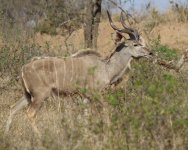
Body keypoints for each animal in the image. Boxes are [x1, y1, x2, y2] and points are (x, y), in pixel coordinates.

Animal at [5, 11, 152, 134]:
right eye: (136, 44)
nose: (150, 53)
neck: (105, 67)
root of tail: (23, 68)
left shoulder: (84, 97)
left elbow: (84, 116)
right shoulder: (95, 94)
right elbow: (106, 110)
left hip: (27, 95)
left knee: (12, 108)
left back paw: (6, 134)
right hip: (40, 95)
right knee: (30, 114)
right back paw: (40, 137)